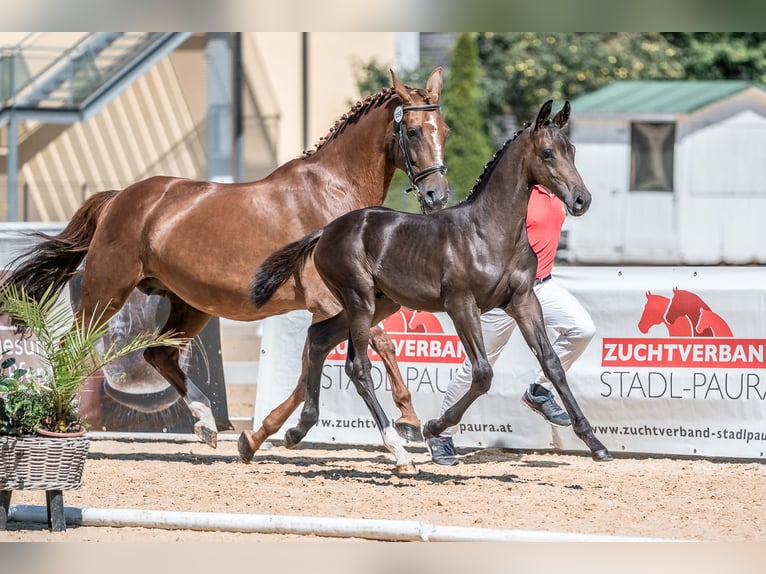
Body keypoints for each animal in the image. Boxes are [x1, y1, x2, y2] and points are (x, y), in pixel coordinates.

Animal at [1, 68, 450, 450]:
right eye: (412, 131)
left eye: (443, 130)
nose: (437, 197)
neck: (332, 192)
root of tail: (120, 197)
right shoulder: (335, 301)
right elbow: (379, 344)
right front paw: (409, 422)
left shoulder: (330, 307)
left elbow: (310, 366)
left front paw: (262, 435)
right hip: (105, 292)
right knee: (70, 348)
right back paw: (64, 418)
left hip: (191, 305)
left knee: (158, 354)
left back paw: (204, 421)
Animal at [252, 101, 612, 474]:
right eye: (547, 153)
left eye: (571, 150)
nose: (581, 200)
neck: (491, 232)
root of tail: (326, 230)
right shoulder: (461, 304)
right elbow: (482, 373)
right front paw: (433, 427)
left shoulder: (524, 301)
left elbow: (552, 363)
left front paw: (595, 442)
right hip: (359, 300)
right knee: (358, 367)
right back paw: (399, 451)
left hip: (382, 303)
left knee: (320, 337)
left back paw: (298, 429)